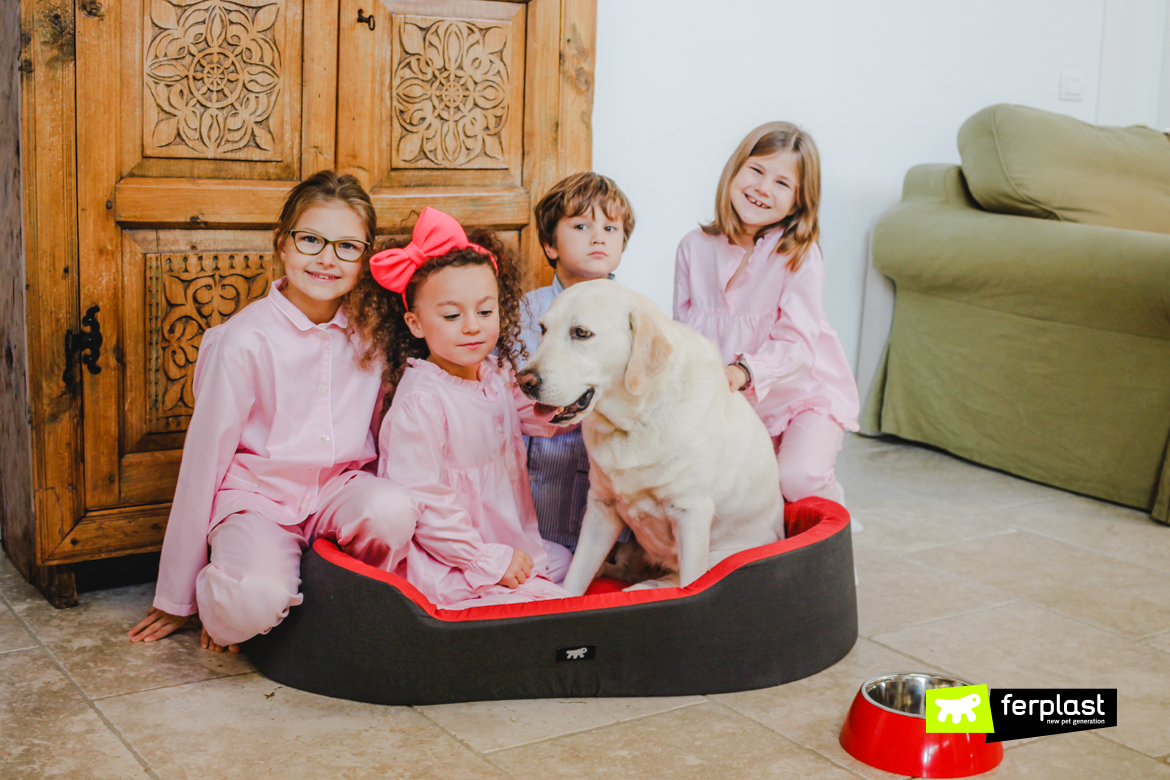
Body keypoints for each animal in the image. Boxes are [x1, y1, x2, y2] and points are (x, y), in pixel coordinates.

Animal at [517, 284, 781, 594]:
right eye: (543, 329)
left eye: (580, 332)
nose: (523, 381)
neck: (633, 424)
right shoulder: (601, 508)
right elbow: (575, 578)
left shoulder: (692, 513)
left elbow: (691, 582)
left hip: (717, 555)